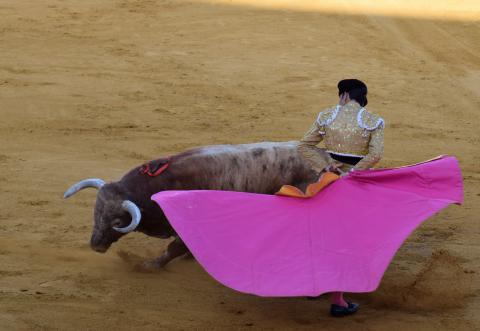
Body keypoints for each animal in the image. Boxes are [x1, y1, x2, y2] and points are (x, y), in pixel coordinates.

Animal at [63, 141, 330, 268]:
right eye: (96, 212)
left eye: (118, 221)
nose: (95, 245)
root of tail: (328, 161)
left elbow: (174, 248)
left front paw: (150, 265)